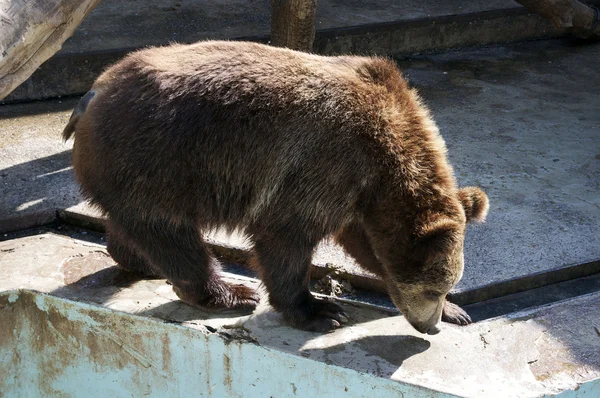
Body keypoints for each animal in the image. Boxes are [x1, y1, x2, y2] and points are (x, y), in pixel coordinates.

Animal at [63, 40, 490, 334]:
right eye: (432, 288)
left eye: (446, 285)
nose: (429, 326)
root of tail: (93, 93)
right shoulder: (324, 163)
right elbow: (286, 238)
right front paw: (319, 311)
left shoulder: (357, 197)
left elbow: (366, 247)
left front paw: (458, 312)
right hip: (157, 158)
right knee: (171, 232)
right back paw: (229, 293)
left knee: (134, 225)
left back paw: (140, 261)